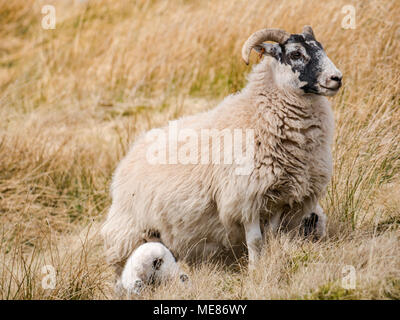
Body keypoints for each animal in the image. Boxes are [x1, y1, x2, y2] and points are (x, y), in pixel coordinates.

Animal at [101, 25, 342, 284]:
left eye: (321, 47)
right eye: (296, 54)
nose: (336, 78)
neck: (257, 114)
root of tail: (130, 154)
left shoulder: (280, 198)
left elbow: (271, 237)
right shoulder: (245, 198)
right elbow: (255, 241)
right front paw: (255, 272)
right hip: (128, 232)